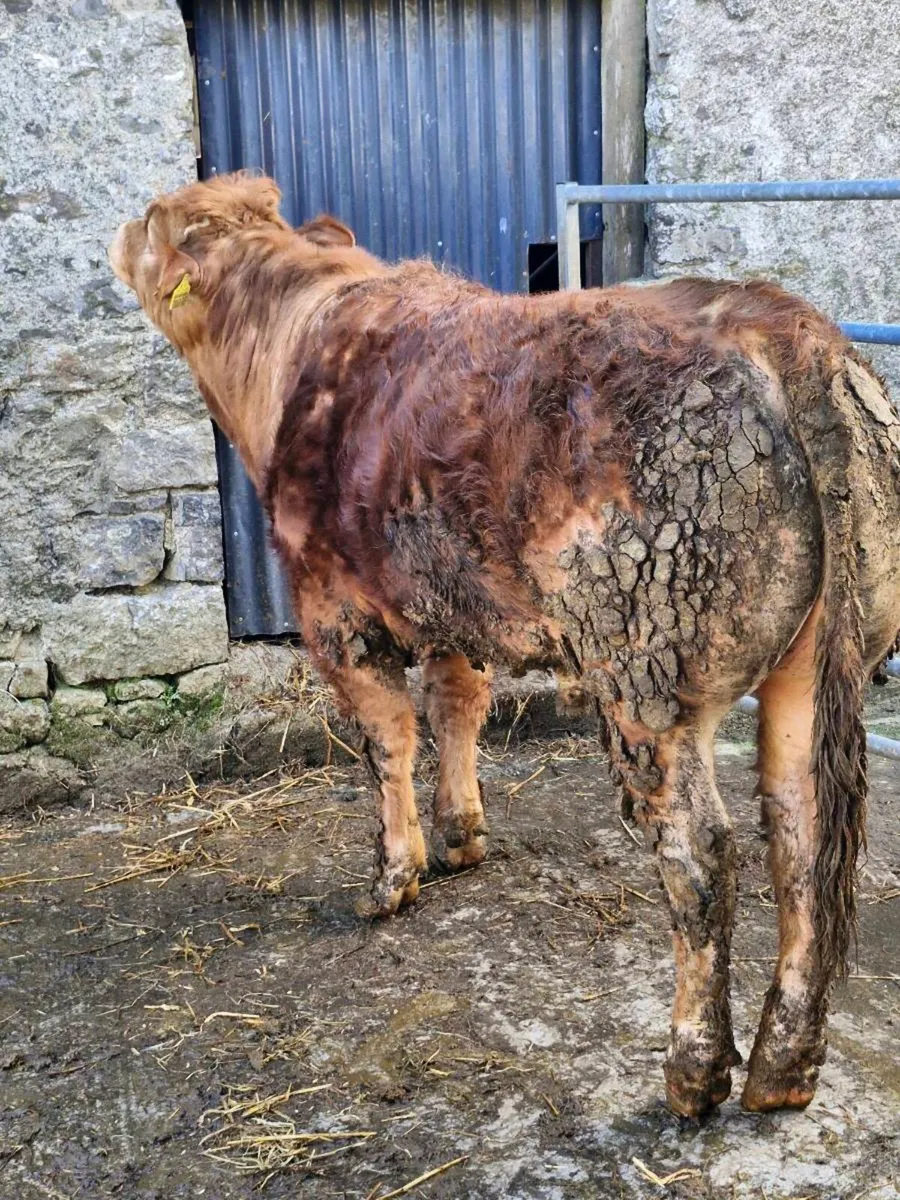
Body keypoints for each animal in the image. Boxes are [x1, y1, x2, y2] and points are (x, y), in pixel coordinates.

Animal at [110, 172, 900, 1118]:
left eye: (150, 224)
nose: (117, 232)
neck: (291, 341)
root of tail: (787, 329)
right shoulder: (450, 598)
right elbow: (458, 706)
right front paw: (463, 836)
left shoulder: (333, 611)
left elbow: (388, 740)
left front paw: (393, 877)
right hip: (815, 663)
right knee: (806, 842)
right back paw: (784, 1069)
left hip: (647, 672)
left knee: (703, 859)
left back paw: (693, 1071)